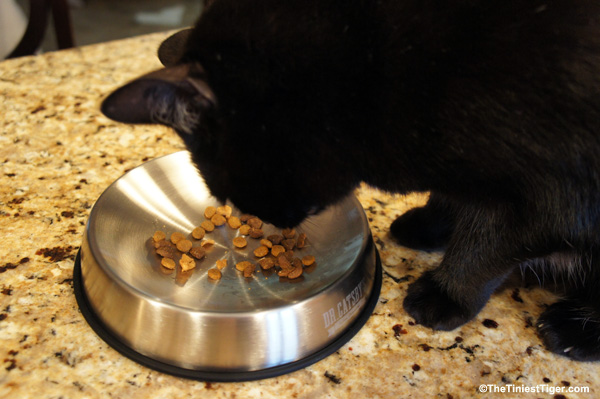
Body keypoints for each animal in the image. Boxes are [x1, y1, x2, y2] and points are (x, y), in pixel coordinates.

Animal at [101, 0, 600, 360]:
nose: (274, 224)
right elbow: (452, 198)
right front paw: (428, 226)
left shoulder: (549, 190)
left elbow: (484, 246)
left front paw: (444, 293)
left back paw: (574, 328)